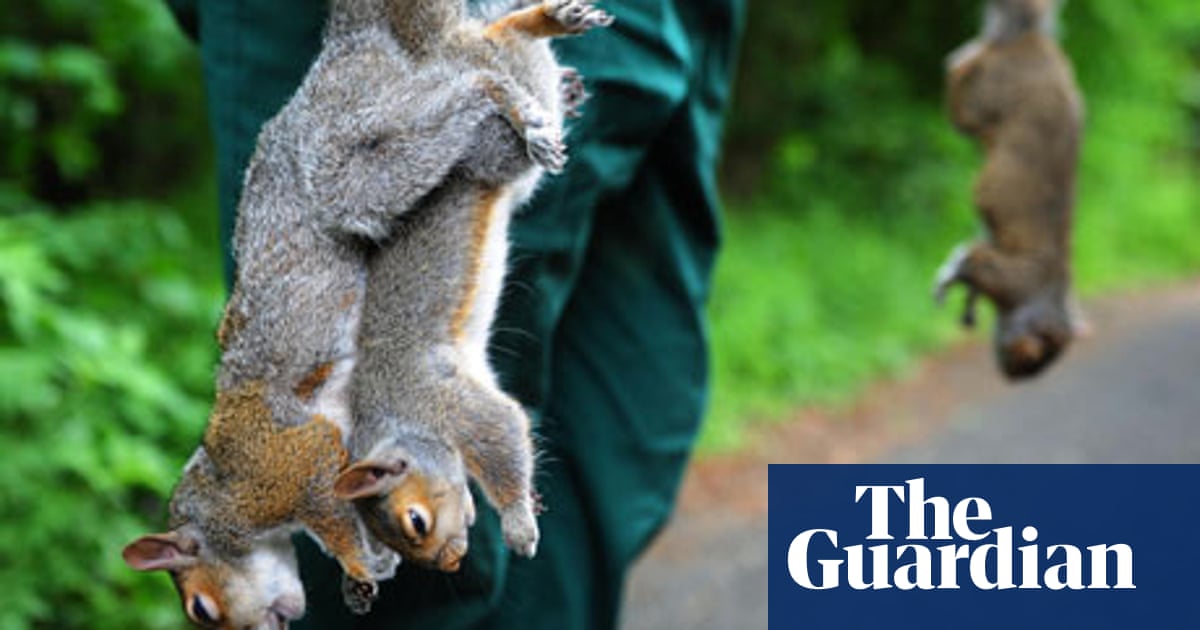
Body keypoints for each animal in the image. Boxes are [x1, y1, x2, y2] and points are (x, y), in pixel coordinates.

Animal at [331, 0, 612, 571]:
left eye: (414, 521)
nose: (451, 562)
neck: (395, 416)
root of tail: (440, 51)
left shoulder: (439, 397)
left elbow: (502, 434)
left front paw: (519, 525)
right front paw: (528, 506)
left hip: (499, 121)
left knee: (499, 70)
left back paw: (549, 26)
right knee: (506, 40)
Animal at [934, 0, 1085, 379]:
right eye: (1033, 358)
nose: (1018, 374)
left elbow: (976, 257)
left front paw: (967, 300)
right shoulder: (1014, 281)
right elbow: (977, 262)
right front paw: (954, 275)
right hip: (996, 81)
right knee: (965, 107)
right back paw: (964, 57)